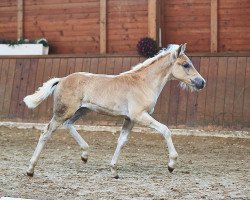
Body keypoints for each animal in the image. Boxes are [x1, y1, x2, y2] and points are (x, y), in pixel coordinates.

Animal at [23, 43, 205, 178]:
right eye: (186, 64)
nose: (202, 82)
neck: (143, 83)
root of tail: (61, 79)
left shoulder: (129, 119)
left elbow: (121, 141)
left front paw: (113, 170)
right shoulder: (139, 116)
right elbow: (165, 130)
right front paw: (171, 164)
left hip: (81, 110)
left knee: (69, 125)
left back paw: (85, 154)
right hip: (64, 111)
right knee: (46, 132)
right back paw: (31, 169)